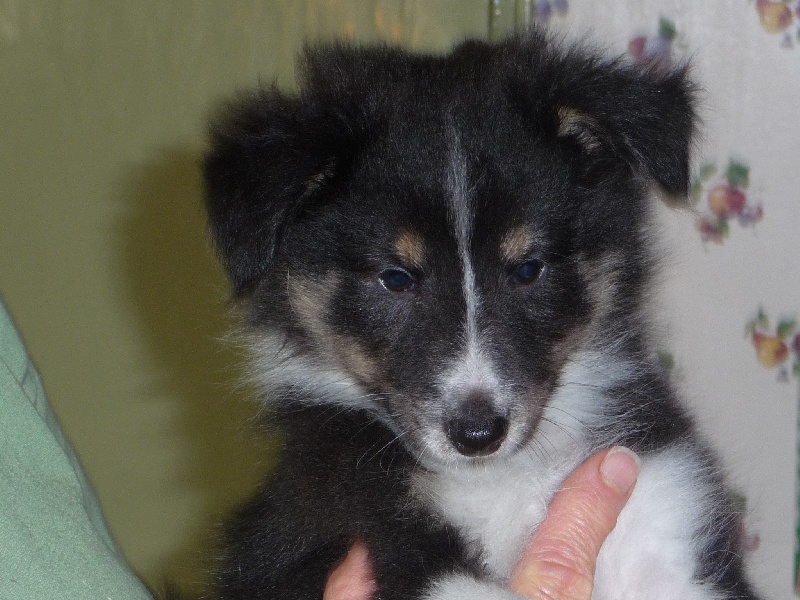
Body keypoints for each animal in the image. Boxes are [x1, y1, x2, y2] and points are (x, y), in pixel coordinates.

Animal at [203, 31, 760, 600]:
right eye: (395, 277)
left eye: (529, 267)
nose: (477, 435)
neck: (503, 479)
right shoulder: (365, 533)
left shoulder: (660, 501)